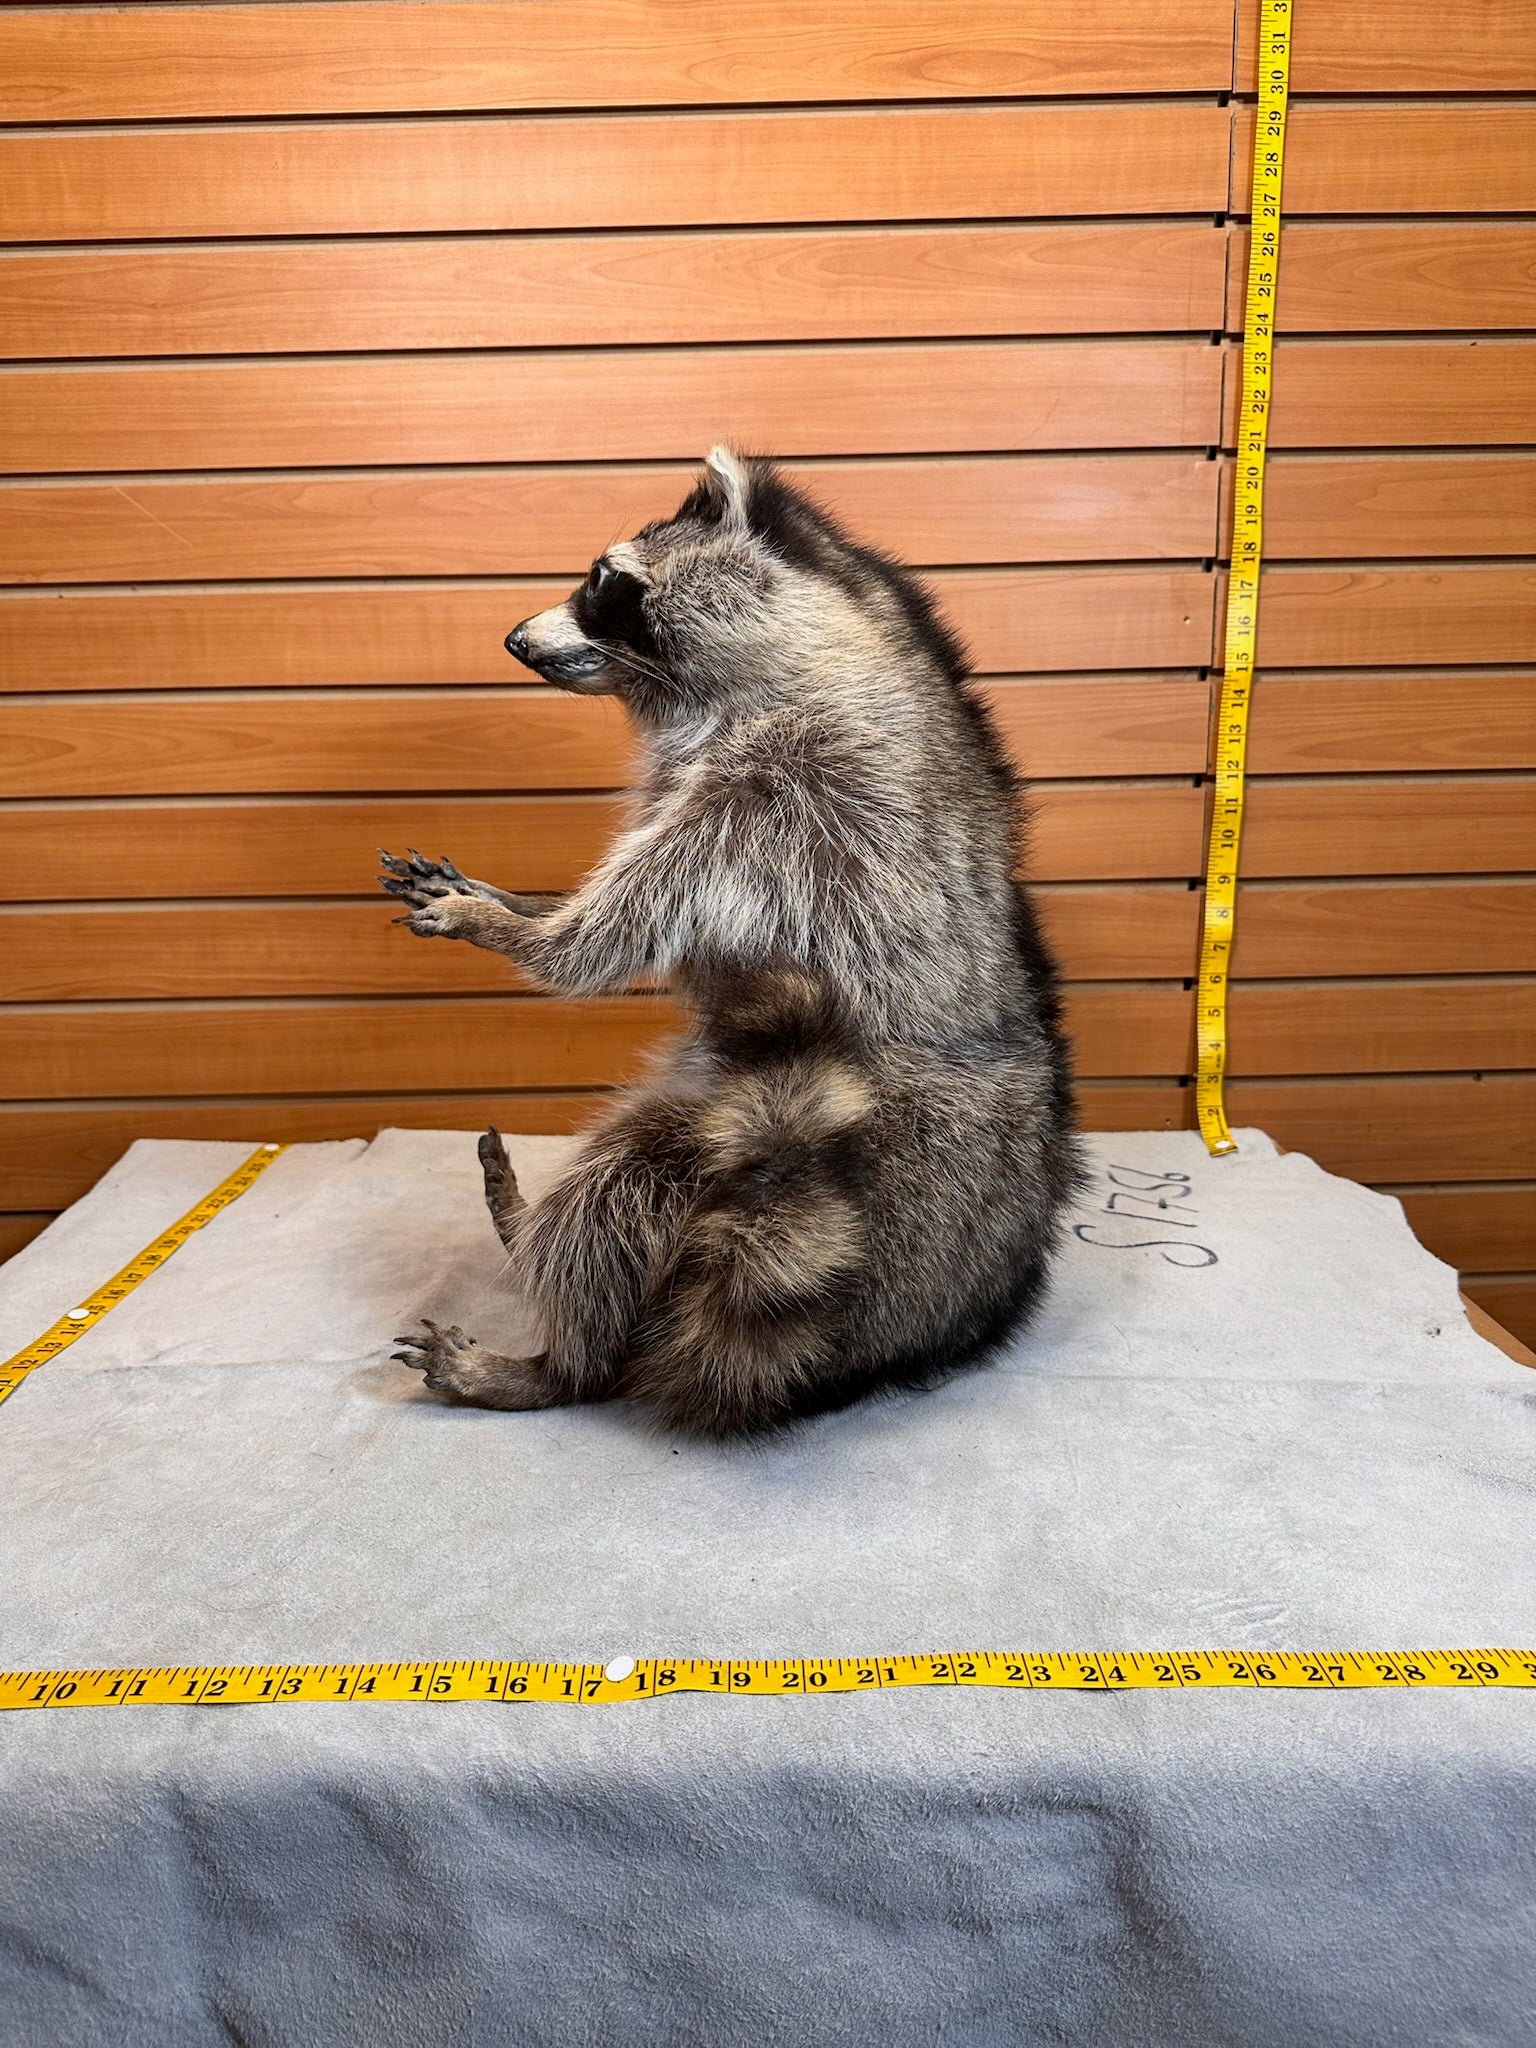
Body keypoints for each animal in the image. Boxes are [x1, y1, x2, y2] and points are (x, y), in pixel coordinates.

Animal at [381, 448, 1082, 1435]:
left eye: (605, 582)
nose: (513, 638)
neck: (833, 639)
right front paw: (515, 898)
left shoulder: (788, 792)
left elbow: (599, 944)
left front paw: (512, 928)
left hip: (799, 1138)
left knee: (620, 1187)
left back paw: (556, 1358)